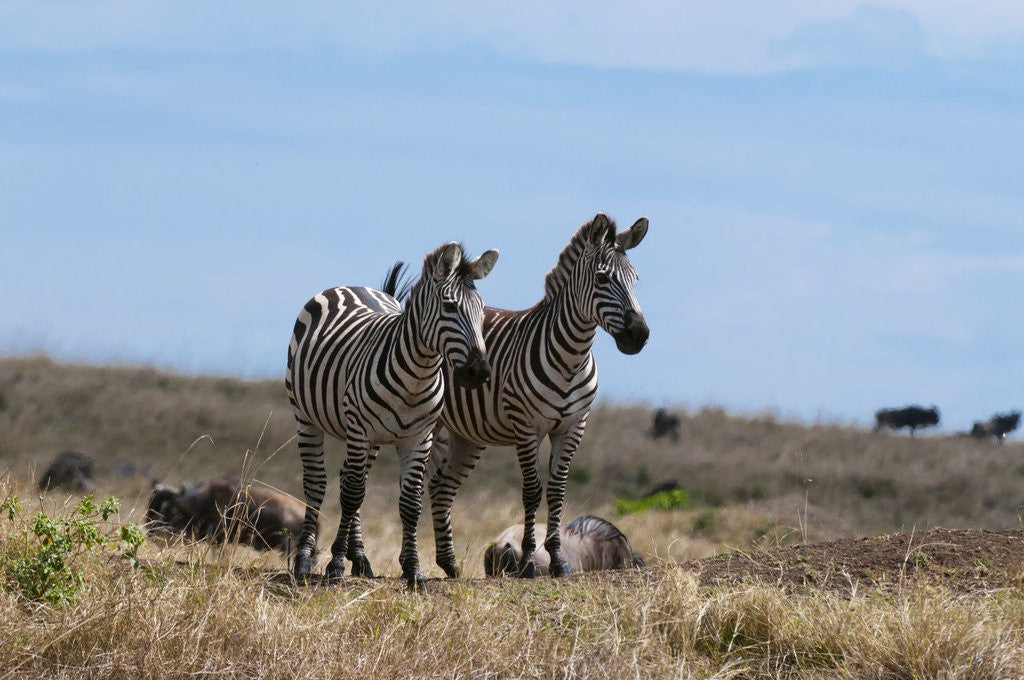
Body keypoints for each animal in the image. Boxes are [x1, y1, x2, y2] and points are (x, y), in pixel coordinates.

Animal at [285, 241, 498, 588]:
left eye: (482, 311)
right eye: (449, 307)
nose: (478, 372)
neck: (417, 377)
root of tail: (352, 286)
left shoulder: (419, 438)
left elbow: (410, 504)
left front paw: (413, 571)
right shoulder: (359, 429)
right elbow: (352, 495)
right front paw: (335, 565)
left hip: (370, 439)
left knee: (349, 478)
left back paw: (360, 558)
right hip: (307, 417)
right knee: (318, 484)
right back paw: (304, 558)